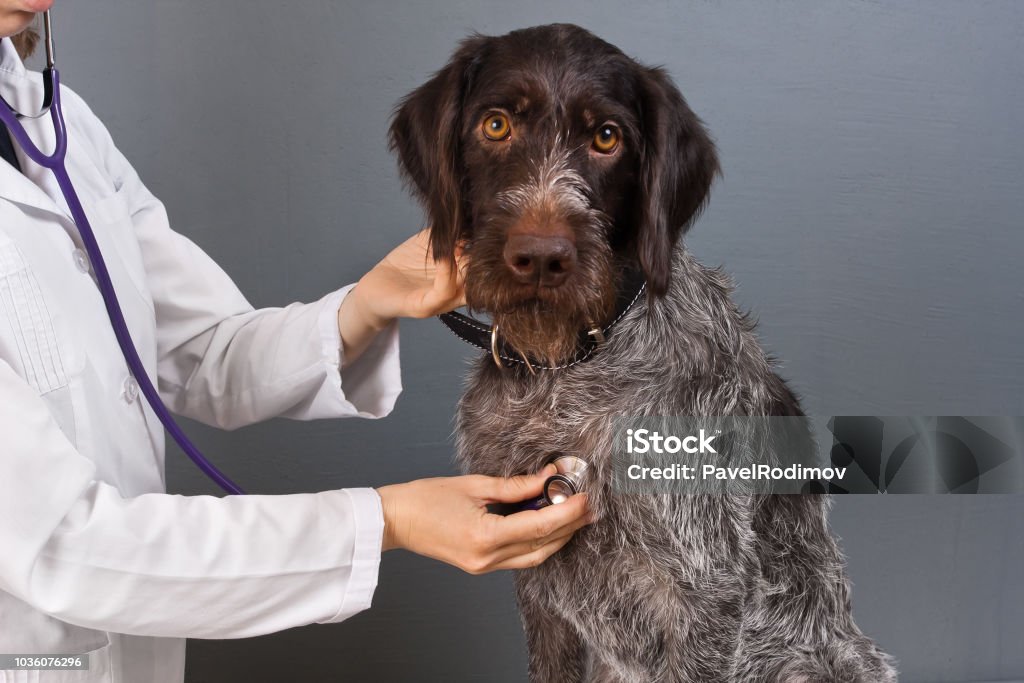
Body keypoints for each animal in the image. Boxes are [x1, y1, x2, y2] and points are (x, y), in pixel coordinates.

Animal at [389, 22, 897, 683]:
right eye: (495, 125)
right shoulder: (538, 581)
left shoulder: (706, 595)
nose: (541, 258)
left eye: (607, 137)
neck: (566, 368)